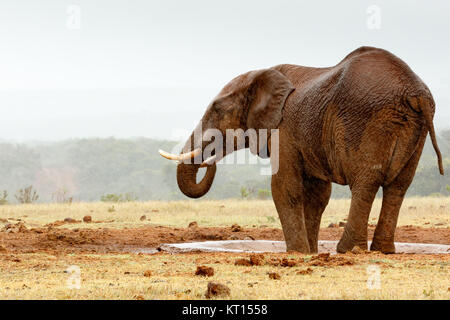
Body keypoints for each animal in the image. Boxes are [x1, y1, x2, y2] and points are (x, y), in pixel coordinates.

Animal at [159, 46, 442, 254]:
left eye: (217, 110)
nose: (209, 158)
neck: (262, 74)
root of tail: (415, 92)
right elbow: (317, 195)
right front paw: (311, 252)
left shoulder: (284, 129)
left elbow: (284, 187)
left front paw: (297, 252)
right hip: (415, 129)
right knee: (399, 186)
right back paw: (383, 250)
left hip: (368, 120)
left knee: (366, 183)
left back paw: (348, 250)